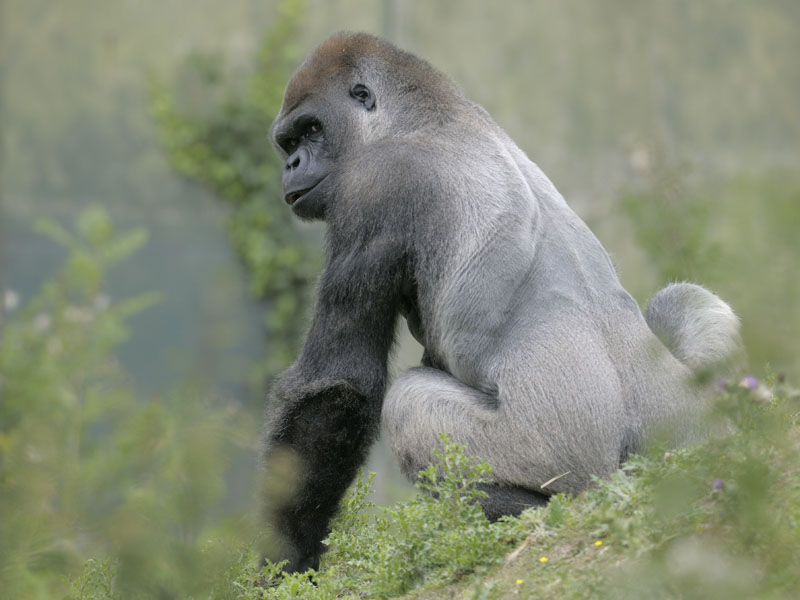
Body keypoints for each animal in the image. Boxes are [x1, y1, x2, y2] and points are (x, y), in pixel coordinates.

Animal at [260, 32, 742, 574]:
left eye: (312, 130)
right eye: (289, 143)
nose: (292, 165)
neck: (426, 116)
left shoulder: (371, 188)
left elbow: (338, 385)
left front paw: (284, 557)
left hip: (567, 457)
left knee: (409, 405)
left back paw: (521, 515)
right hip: (689, 425)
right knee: (683, 301)